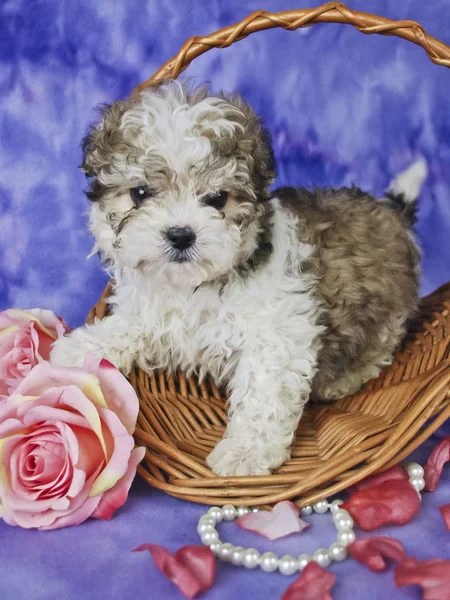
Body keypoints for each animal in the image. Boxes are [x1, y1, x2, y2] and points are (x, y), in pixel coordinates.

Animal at [51, 82, 426, 478]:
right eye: (140, 193)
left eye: (218, 199)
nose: (180, 234)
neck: (194, 285)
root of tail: (393, 211)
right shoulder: (157, 312)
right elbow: (132, 325)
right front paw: (80, 347)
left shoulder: (278, 334)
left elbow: (264, 391)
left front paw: (246, 451)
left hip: (387, 316)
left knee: (379, 346)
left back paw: (343, 380)